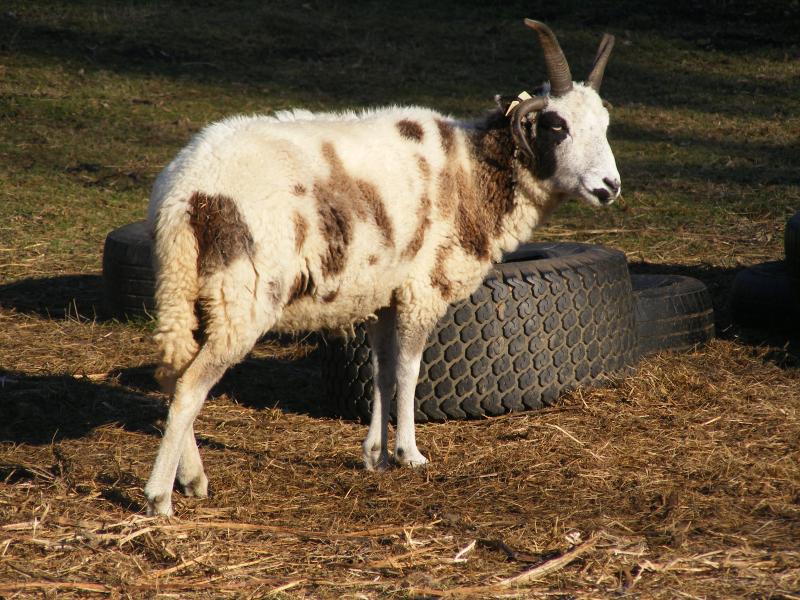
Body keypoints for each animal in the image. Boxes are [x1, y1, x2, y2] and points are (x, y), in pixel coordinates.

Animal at [143, 19, 620, 516]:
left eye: (606, 125)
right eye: (556, 125)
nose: (610, 187)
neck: (473, 172)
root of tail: (186, 192)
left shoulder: (379, 295)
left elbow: (381, 372)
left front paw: (376, 455)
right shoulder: (422, 288)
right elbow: (409, 370)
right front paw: (410, 454)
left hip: (182, 283)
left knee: (172, 375)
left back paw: (192, 477)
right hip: (244, 292)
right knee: (190, 386)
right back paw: (160, 496)